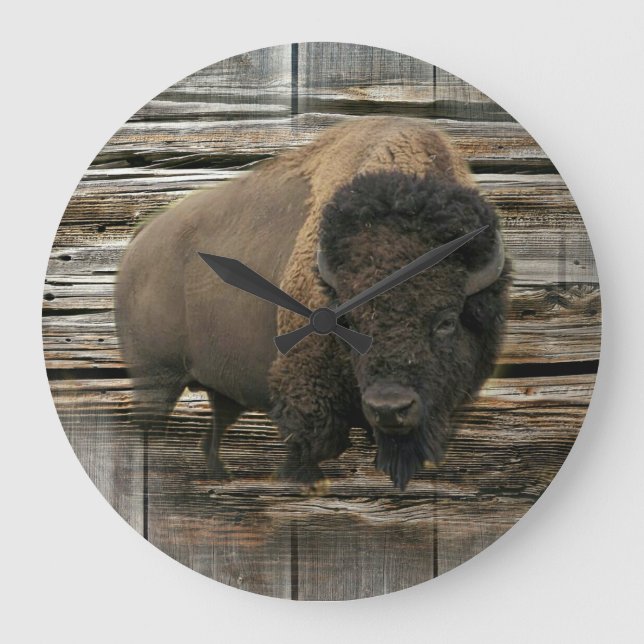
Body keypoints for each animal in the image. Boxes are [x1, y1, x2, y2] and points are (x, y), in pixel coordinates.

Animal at [115, 116, 511, 491]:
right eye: (349, 321)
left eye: (446, 321)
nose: (389, 408)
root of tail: (140, 240)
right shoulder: (307, 396)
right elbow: (307, 448)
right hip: (155, 379)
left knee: (211, 436)